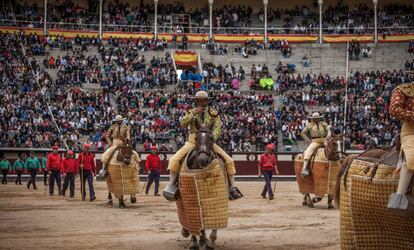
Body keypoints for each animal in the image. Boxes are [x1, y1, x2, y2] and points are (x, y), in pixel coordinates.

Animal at [175, 120, 230, 249]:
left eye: (211, 138)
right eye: (196, 137)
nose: (203, 159)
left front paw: (210, 243)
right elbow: (192, 222)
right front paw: (194, 242)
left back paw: (203, 239)